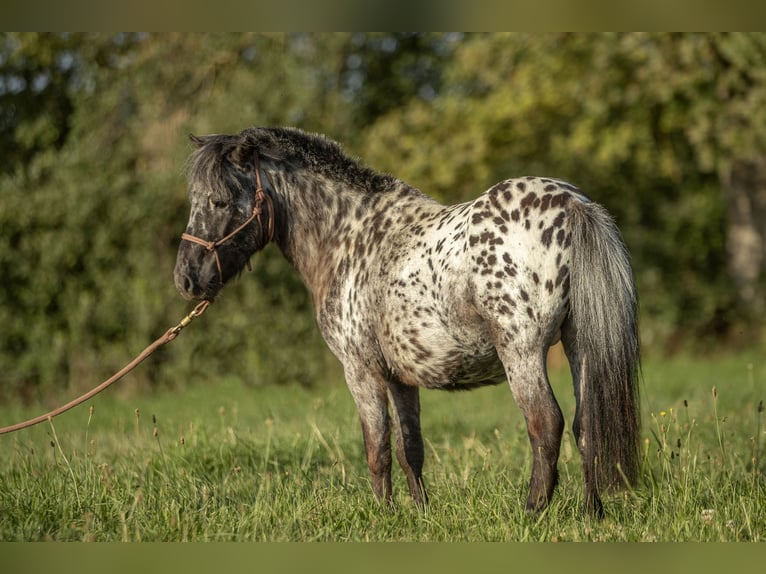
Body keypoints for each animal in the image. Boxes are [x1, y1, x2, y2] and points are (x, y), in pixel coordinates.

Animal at [174, 128, 640, 520]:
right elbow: (409, 448)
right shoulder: (402, 377)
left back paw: (531, 511)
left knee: (545, 424)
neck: (349, 236)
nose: (186, 278)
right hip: (578, 346)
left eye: (218, 201)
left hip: (521, 352)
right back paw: (590, 513)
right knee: (586, 425)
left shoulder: (360, 371)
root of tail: (573, 206)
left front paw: (384, 515)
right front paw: (421, 513)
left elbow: (377, 448)